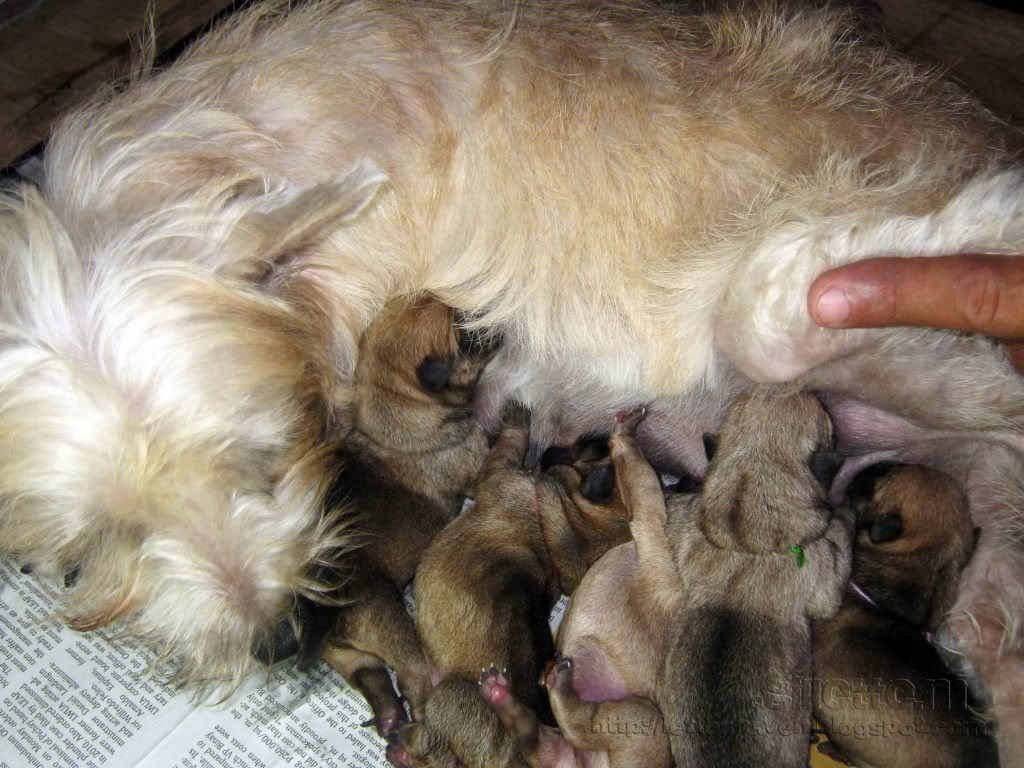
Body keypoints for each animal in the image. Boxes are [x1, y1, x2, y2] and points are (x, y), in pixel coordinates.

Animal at [387, 405, 630, 765]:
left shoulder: (498, 473)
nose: (598, 433)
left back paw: (403, 745)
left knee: (431, 743)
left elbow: (508, 446)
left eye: (586, 448)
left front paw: (517, 420)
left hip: (450, 695)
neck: (575, 530)